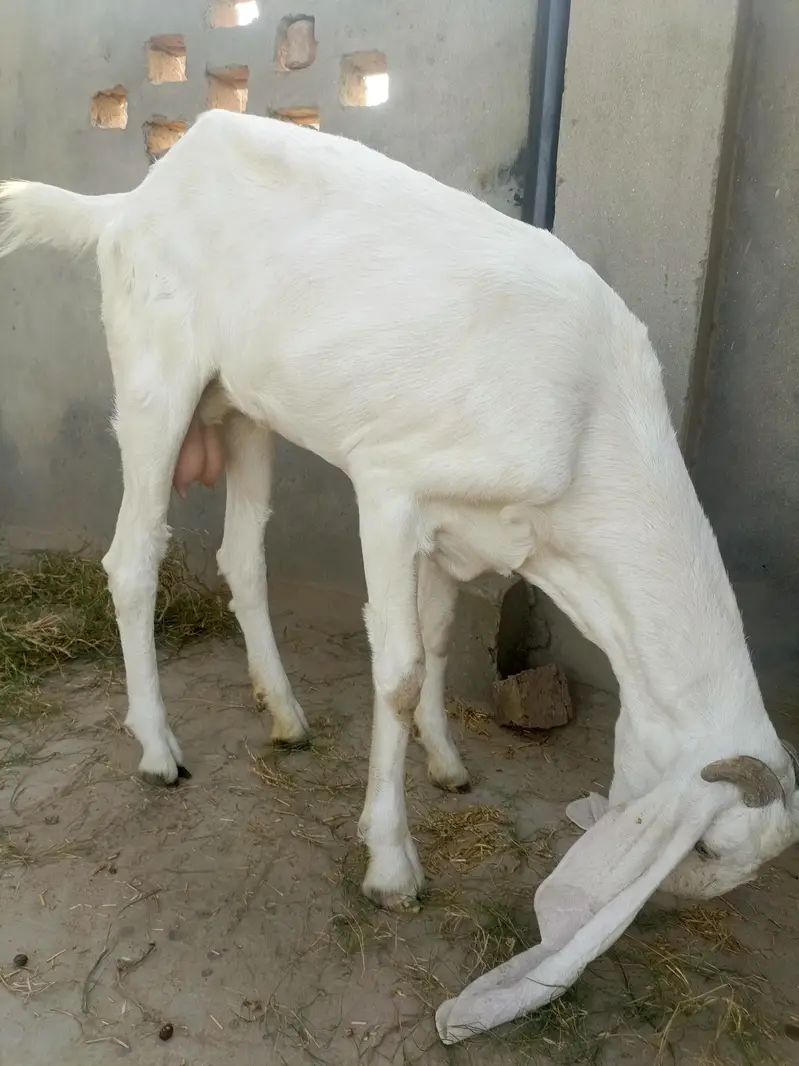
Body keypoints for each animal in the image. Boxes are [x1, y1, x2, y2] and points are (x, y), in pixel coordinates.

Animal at [1, 110, 797, 1043]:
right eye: (704, 845)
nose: (664, 912)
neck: (586, 426)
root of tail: (129, 203)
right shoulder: (387, 488)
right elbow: (400, 669)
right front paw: (390, 863)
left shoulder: (458, 533)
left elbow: (444, 643)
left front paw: (447, 762)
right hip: (157, 385)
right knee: (132, 559)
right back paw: (159, 751)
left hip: (243, 408)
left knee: (242, 558)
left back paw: (286, 714)